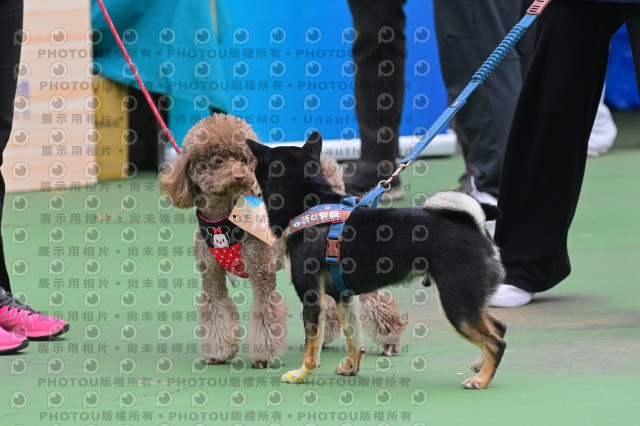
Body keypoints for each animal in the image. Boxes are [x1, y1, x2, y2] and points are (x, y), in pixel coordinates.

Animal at [160, 114, 406, 368]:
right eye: (218, 160)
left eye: (242, 159)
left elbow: (265, 312)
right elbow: (216, 310)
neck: (224, 219)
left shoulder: (261, 272)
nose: (241, 176)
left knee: (375, 299)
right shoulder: (211, 277)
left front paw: (263, 357)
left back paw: (390, 338)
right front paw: (217, 352)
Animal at [245, 132, 507, 389]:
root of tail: (474, 224)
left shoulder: (312, 296)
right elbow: (354, 339)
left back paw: (481, 380)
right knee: (498, 328)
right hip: (467, 299)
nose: (248, 182)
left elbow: (312, 345)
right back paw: (480, 365)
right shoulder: (344, 296)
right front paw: (351, 367)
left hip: (456, 304)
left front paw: (301, 374)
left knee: (496, 343)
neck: (308, 204)